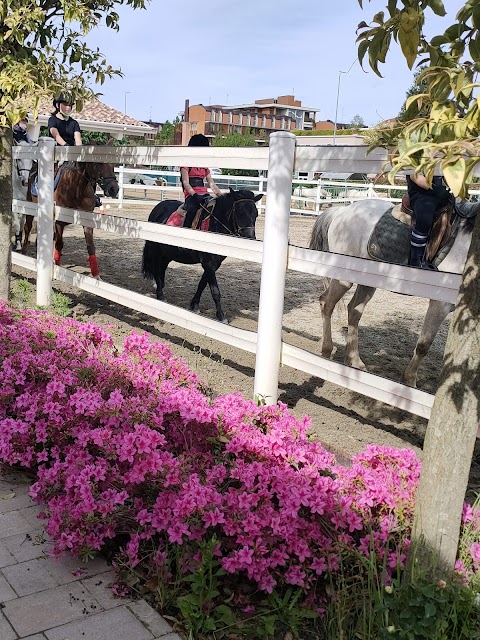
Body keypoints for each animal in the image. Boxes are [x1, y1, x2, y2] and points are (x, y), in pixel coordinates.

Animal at [142, 188, 262, 322]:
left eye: (256, 214)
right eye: (240, 213)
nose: (250, 238)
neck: (215, 225)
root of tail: (158, 208)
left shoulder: (214, 264)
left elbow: (202, 284)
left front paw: (194, 305)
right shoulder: (208, 263)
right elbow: (215, 291)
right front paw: (221, 316)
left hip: (168, 252)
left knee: (162, 268)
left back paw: (161, 288)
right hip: (155, 250)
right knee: (156, 269)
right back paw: (160, 295)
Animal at [308, 199, 476, 384]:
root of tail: (342, 211)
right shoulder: (441, 303)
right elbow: (424, 345)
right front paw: (409, 380)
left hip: (367, 282)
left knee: (353, 311)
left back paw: (354, 360)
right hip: (344, 278)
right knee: (327, 303)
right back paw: (326, 350)